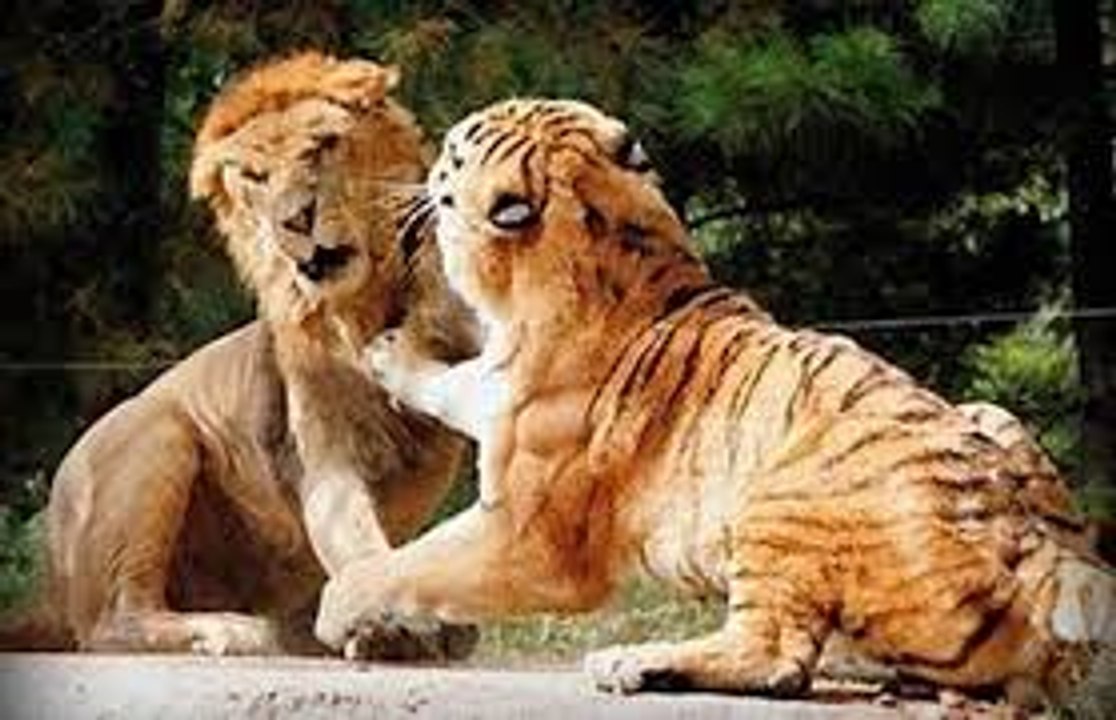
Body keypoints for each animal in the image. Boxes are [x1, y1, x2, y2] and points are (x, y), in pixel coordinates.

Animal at [0, 53, 479, 659]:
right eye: (255, 177)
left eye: (321, 146)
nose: (296, 220)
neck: (367, 301)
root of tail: (51, 587)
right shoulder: (327, 455)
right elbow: (353, 534)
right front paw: (387, 625)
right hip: (159, 434)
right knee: (112, 623)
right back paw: (230, 629)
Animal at [313, 98, 1115, 704]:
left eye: (456, 150)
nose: (434, 148)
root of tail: (1032, 549)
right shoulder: (489, 389)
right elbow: (452, 382)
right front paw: (386, 352)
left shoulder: (528, 538)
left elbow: (406, 566)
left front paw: (338, 611)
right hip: (989, 415)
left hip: (779, 492)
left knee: (777, 655)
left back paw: (635, 661)